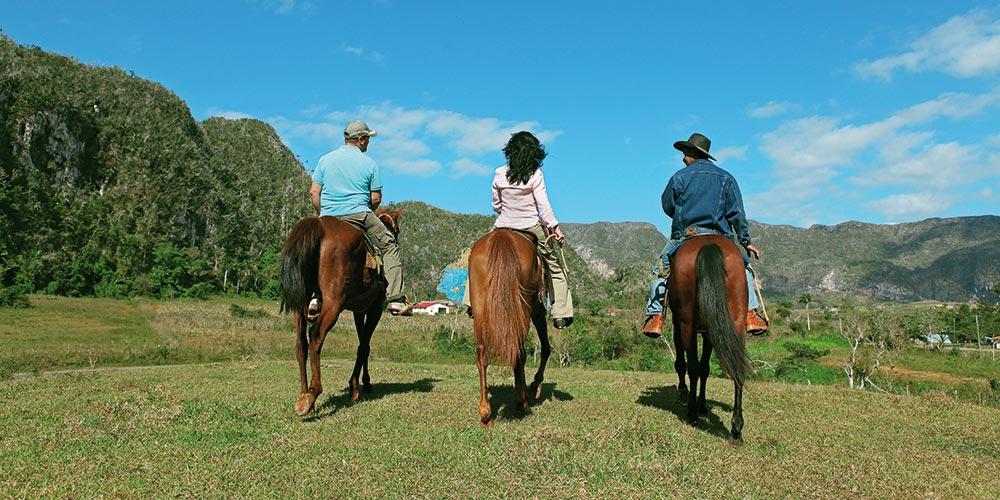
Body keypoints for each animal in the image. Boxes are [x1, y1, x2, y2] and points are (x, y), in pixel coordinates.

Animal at [276, 209, 400, 416]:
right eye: (396, 230)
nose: (396, 239)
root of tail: (319, 224)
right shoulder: (374, 309)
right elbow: (364, 346)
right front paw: (358, 386)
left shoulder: (359, 311)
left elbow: (363, 344)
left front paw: (360, 383)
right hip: (333, 302)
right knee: (315, 336)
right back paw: (313, 393)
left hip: (301, 303)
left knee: (301, 344)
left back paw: (304, 396)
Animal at [470, 229, 556, 428]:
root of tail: (502, 236)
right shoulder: (538, 311)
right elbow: (546, 348)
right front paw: (534, 385)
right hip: (524, 307)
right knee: (520, 352)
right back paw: (521, 402)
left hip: (479, 307)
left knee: (482, 354)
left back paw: (485, 413)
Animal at [668, 234, 752, 446]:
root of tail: (708, 243)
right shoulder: (710, 329)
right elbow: (706, 368)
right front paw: (702, 404)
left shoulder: (678, 323)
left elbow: (683, 362)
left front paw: (685, 395)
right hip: (735, 319)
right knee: (737, 366)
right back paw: (736, 429)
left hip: (687, 322)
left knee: (692, 367)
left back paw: (691, 414)